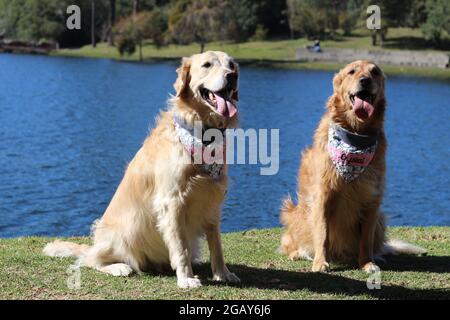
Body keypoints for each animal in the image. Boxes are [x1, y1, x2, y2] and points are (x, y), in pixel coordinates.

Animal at [44, 51, 241, 288]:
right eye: (207, 65)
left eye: (231, 65)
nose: (231, 76)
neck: (202, 133)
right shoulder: (171, 201)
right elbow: (180, 247)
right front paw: (186, 278)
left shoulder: (213, 198)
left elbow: (216, 244)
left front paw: (223, 273)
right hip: (124, 233)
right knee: (91, 259)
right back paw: (118, 267)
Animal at [282, 60, 426, 272]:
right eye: (352, 71)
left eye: (375, 72)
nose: (365, 80)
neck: (355, 135)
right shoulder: (323, 195)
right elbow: (322, 234)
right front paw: (320, 262)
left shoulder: (372, 199)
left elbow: (366, 239)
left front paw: (367, 263)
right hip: (295, 213)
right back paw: (300, 253)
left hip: (381, 219)